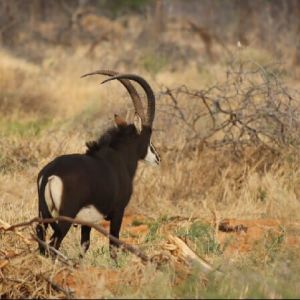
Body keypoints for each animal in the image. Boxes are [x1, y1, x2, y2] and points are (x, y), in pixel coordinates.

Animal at [35, 72, 159, 258]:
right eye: (148, 135)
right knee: (54, 242)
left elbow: (85, 245)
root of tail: (50, 174)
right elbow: (113, 245)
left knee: (41, 236)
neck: (119, 158)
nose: (157, 158)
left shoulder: (87, 221)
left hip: (44, 213)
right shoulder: (118, 211)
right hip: (65, 216)